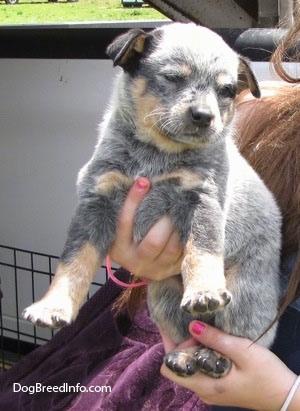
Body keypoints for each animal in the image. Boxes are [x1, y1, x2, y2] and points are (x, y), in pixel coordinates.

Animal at [23, 24, 282, 380]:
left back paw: (214, 357)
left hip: (245, 295)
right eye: (173, 77)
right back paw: (185, 357)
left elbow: (202, 250)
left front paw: (204, 289)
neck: (156, 156)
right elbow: (73, 260)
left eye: (227, 90)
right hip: (164, 298)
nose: (204, 116)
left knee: (235, 339)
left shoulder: (203, 199)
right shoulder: (96, 199)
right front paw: (53, 305)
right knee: (191, 331)